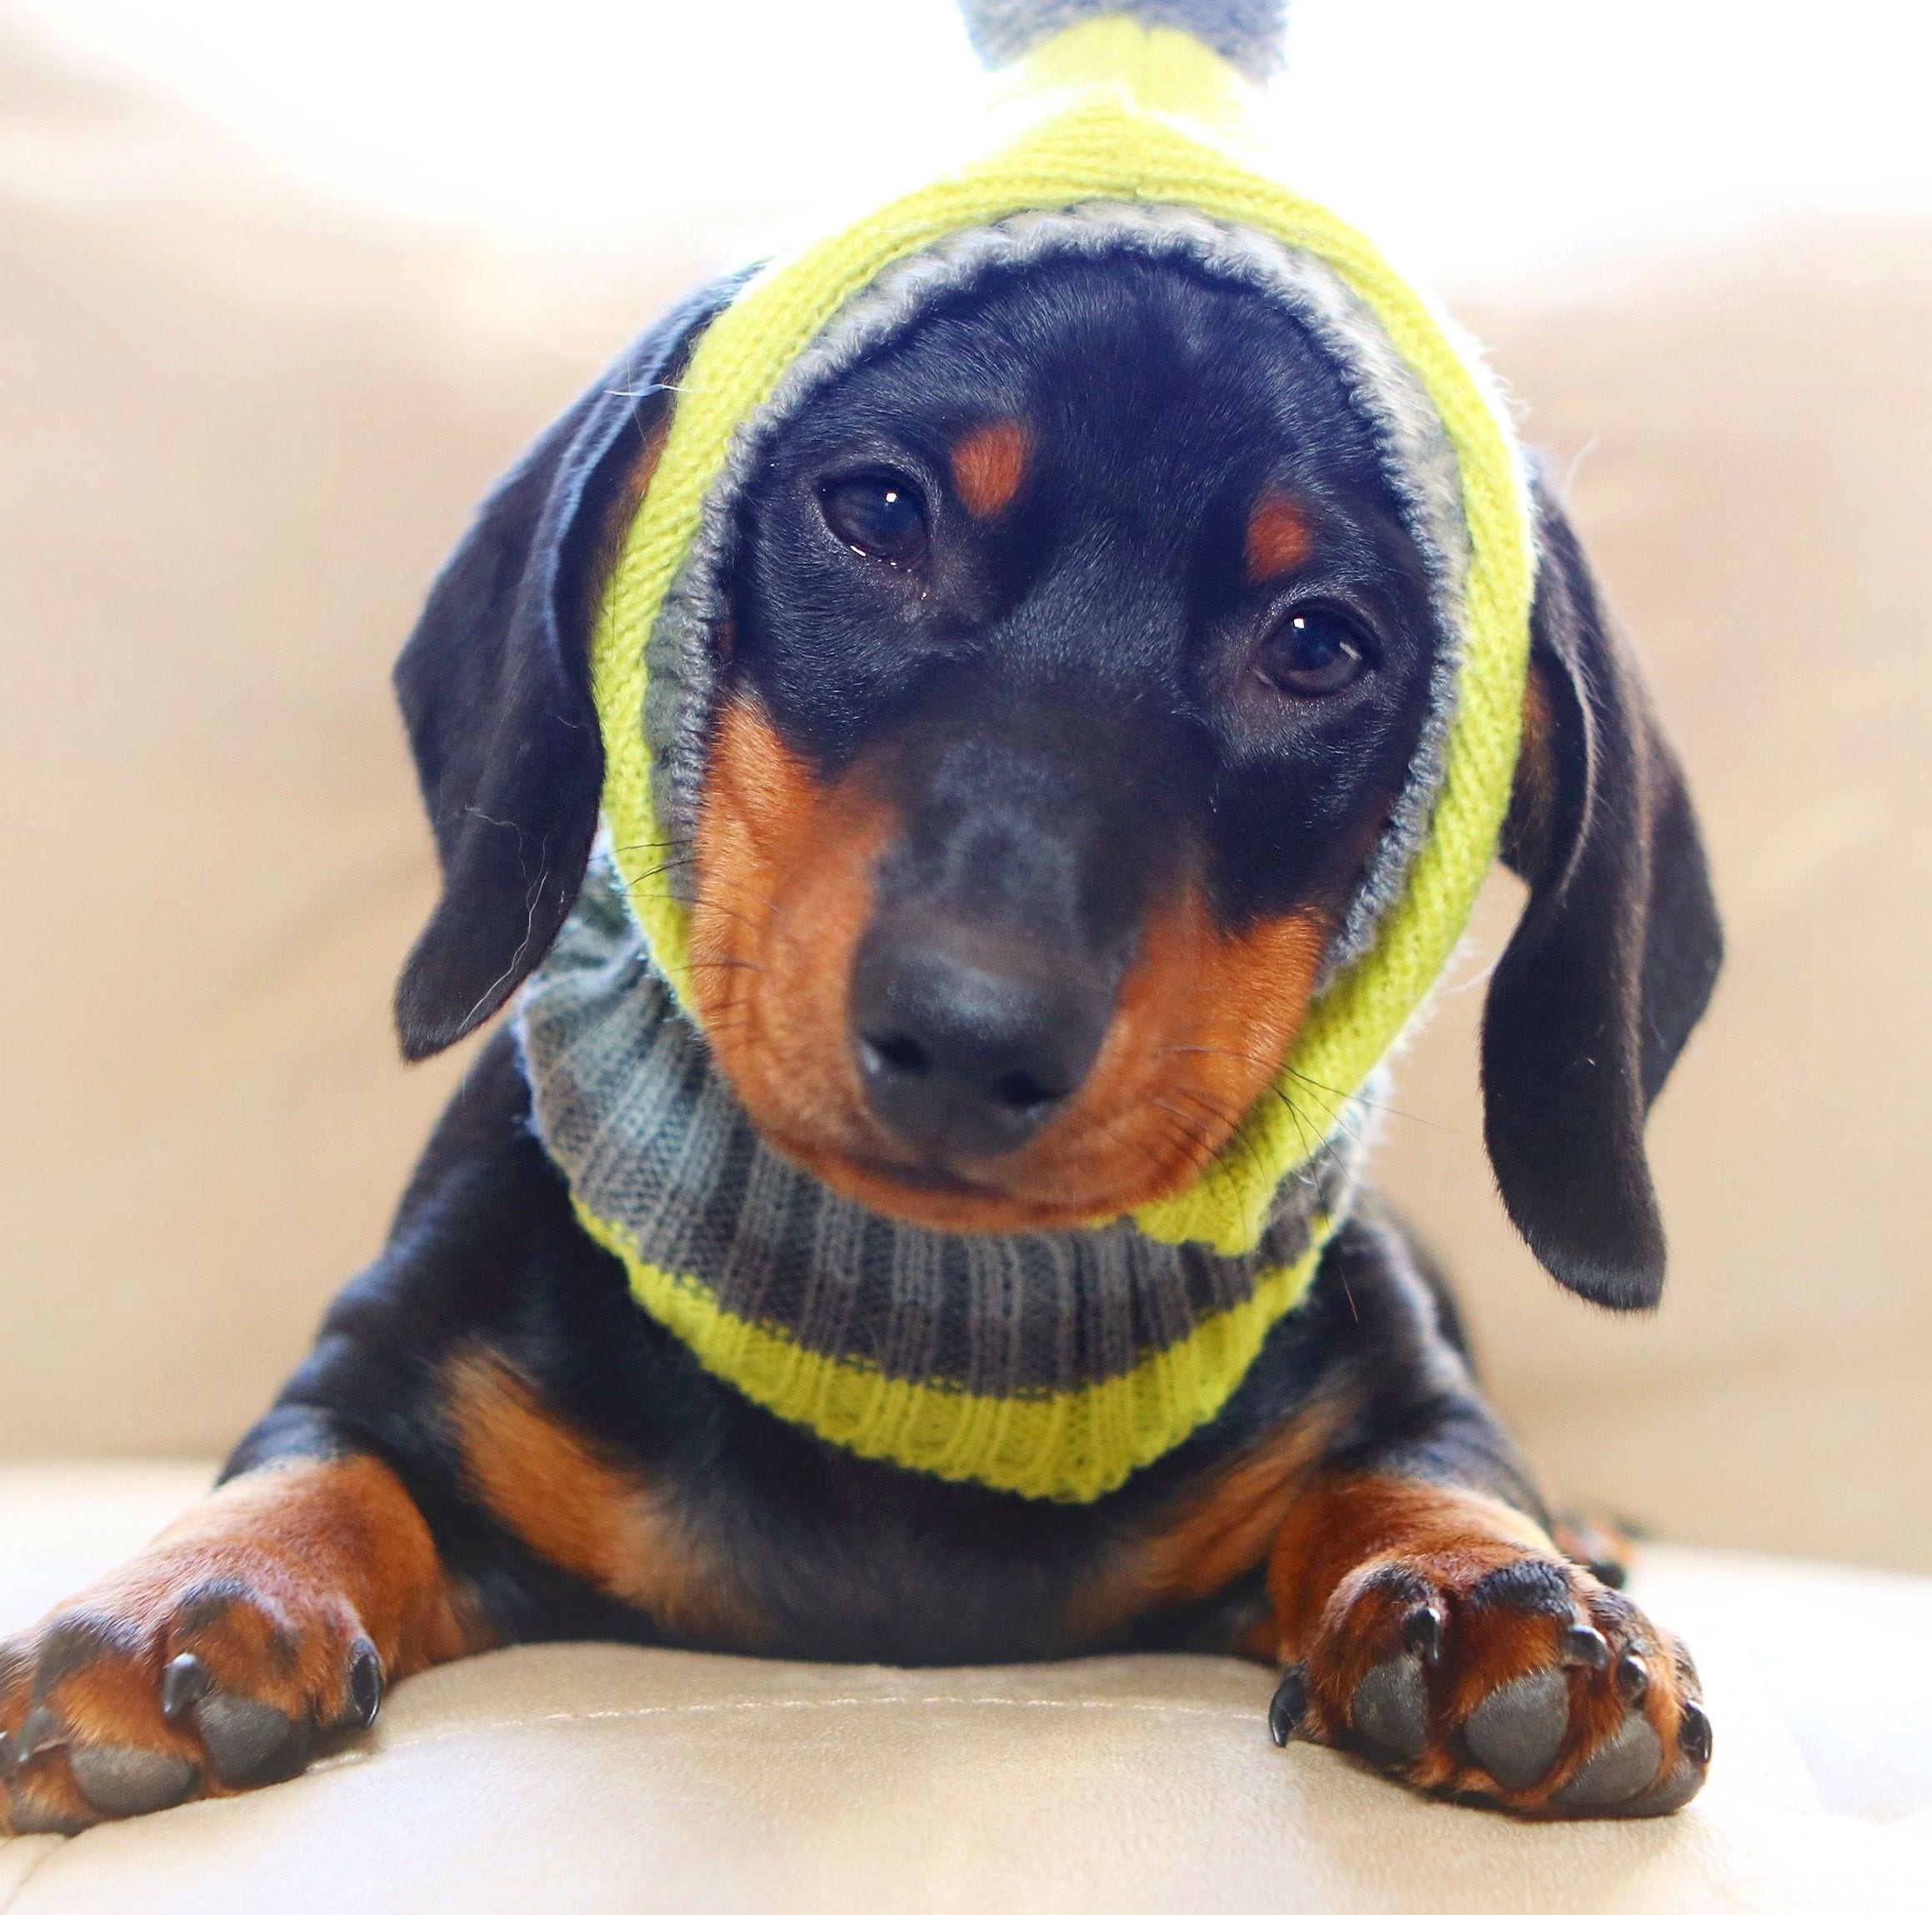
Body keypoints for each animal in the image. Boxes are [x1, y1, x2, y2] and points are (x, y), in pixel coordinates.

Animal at [0, 223, 1723, 1824]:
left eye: (1317, 641)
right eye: (881, 511)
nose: (969, 1035)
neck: (908, 1325)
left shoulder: (1394, 1385)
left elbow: (1423, 1457)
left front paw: (1492, 1589)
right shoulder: (379, 1359)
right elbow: (317, 1459)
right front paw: (197, 1592)